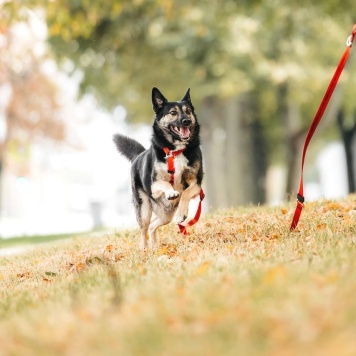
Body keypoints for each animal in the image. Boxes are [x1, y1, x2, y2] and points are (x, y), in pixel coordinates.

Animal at [113, 87, 203, 249]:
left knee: (152, 226)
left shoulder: (196, 184)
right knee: (144, 229)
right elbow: (166, 183)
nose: (186, 121)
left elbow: (185, 193)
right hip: (144, 209)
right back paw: (144, 248)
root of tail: (138, 156)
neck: (176, 150)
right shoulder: (155, 185)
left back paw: (154, 246)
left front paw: (181, 213)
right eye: (173, 112)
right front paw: (171, 192)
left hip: (166, 214)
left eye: (188, 111)